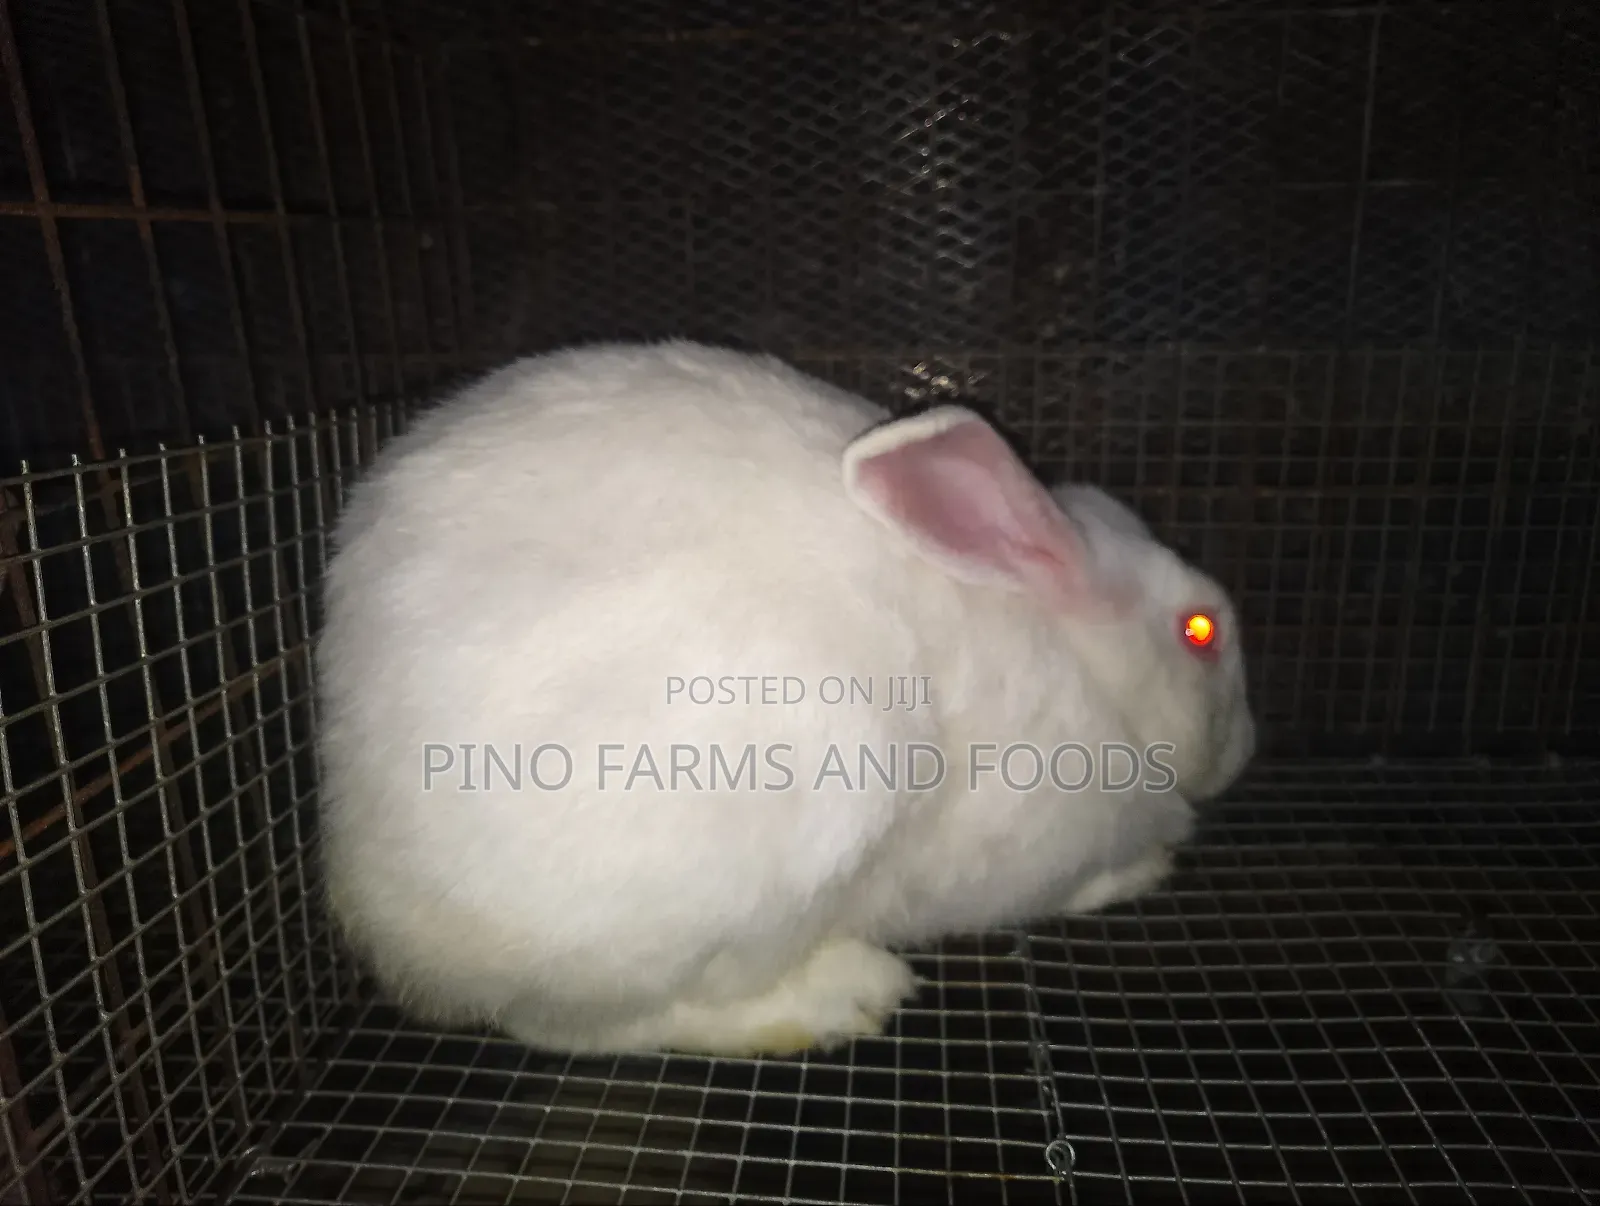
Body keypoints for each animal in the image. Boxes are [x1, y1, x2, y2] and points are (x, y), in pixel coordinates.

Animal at [313, 340, 1256, 1059]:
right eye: (1201, 630)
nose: (1249, 744)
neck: (1083, 663)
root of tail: (376, 904)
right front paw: (1147, 867)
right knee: (582, 1025)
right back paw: (842, 995)